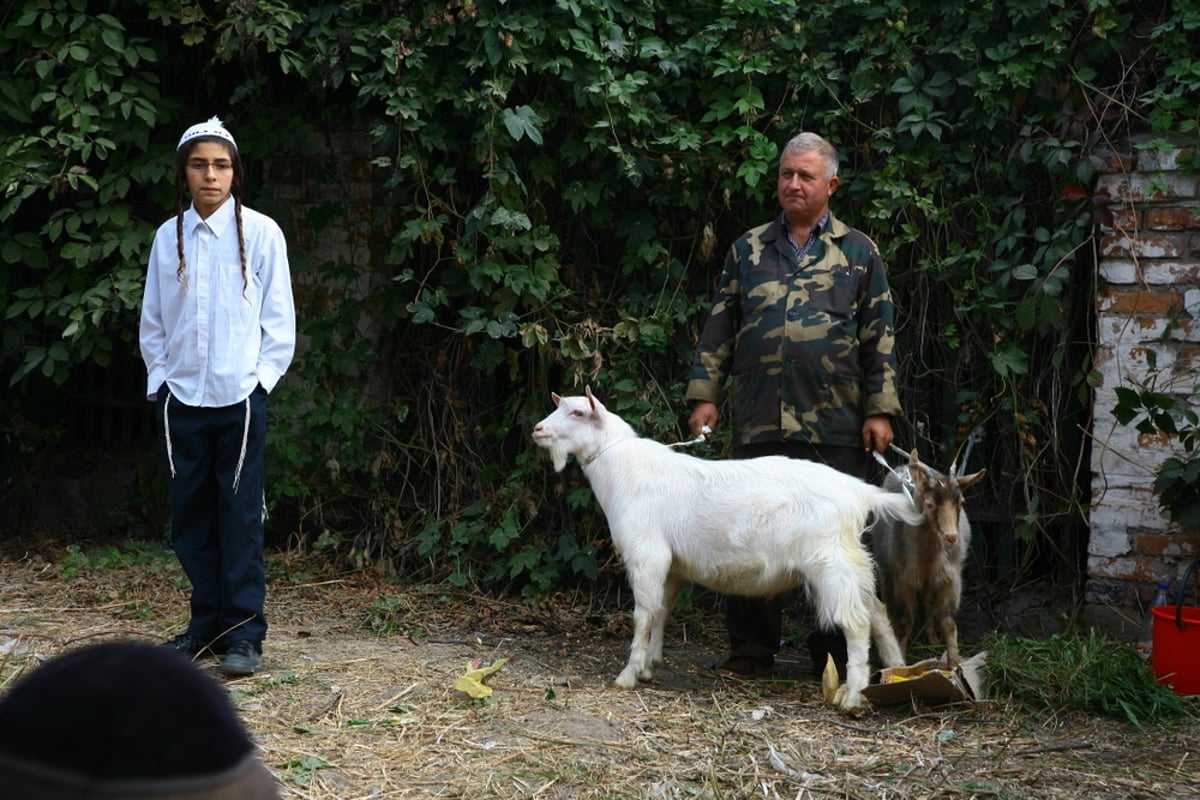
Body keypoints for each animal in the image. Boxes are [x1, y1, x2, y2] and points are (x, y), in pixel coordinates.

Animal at [530, 391, 921, 710]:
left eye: (578, 412)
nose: (537, 429)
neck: (624, 471)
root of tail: (860, 493)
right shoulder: (672, 565)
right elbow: (661, 612)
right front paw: (650, 666)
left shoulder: (647, 555)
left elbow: (642, 615)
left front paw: (627, 674)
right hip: (851, 563)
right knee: (877, 613)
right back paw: (897, 672)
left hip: (832, 564)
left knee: (856, 622)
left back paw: (853, 695)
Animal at [873, 450, 984, 671]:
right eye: (930, 504)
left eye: (961, 503)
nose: (951, 537)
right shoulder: (904, 580)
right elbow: (905, 621)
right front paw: (901, 659)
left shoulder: (950, 579)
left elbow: (948, 622)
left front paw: (954, 662)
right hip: (887, 571)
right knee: (890, 601)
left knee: (925, 601)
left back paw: (932, 638)